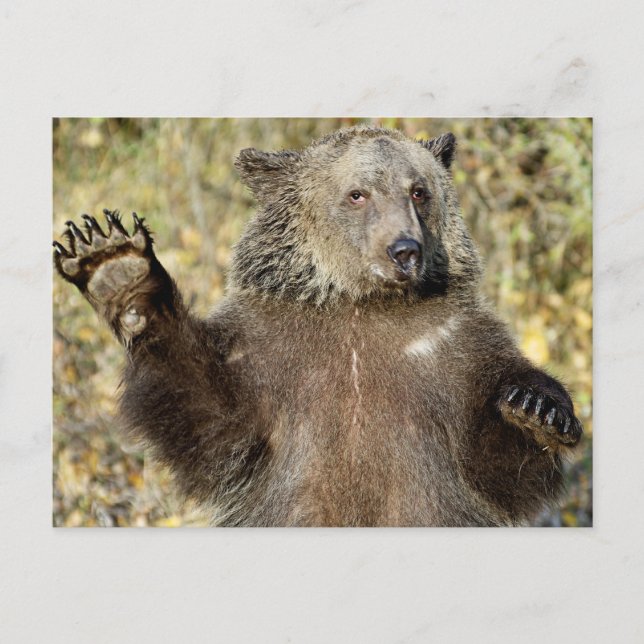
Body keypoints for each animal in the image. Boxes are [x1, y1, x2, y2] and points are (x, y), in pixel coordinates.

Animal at [53, 126, 582, 527]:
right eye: (357, 194)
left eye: (419, 191)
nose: (404, 250)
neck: (361, 305)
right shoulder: (272, 354)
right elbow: (210, 418)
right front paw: (118, 268)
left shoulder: (449, 351)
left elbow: (494, 468)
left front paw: (536, 409)